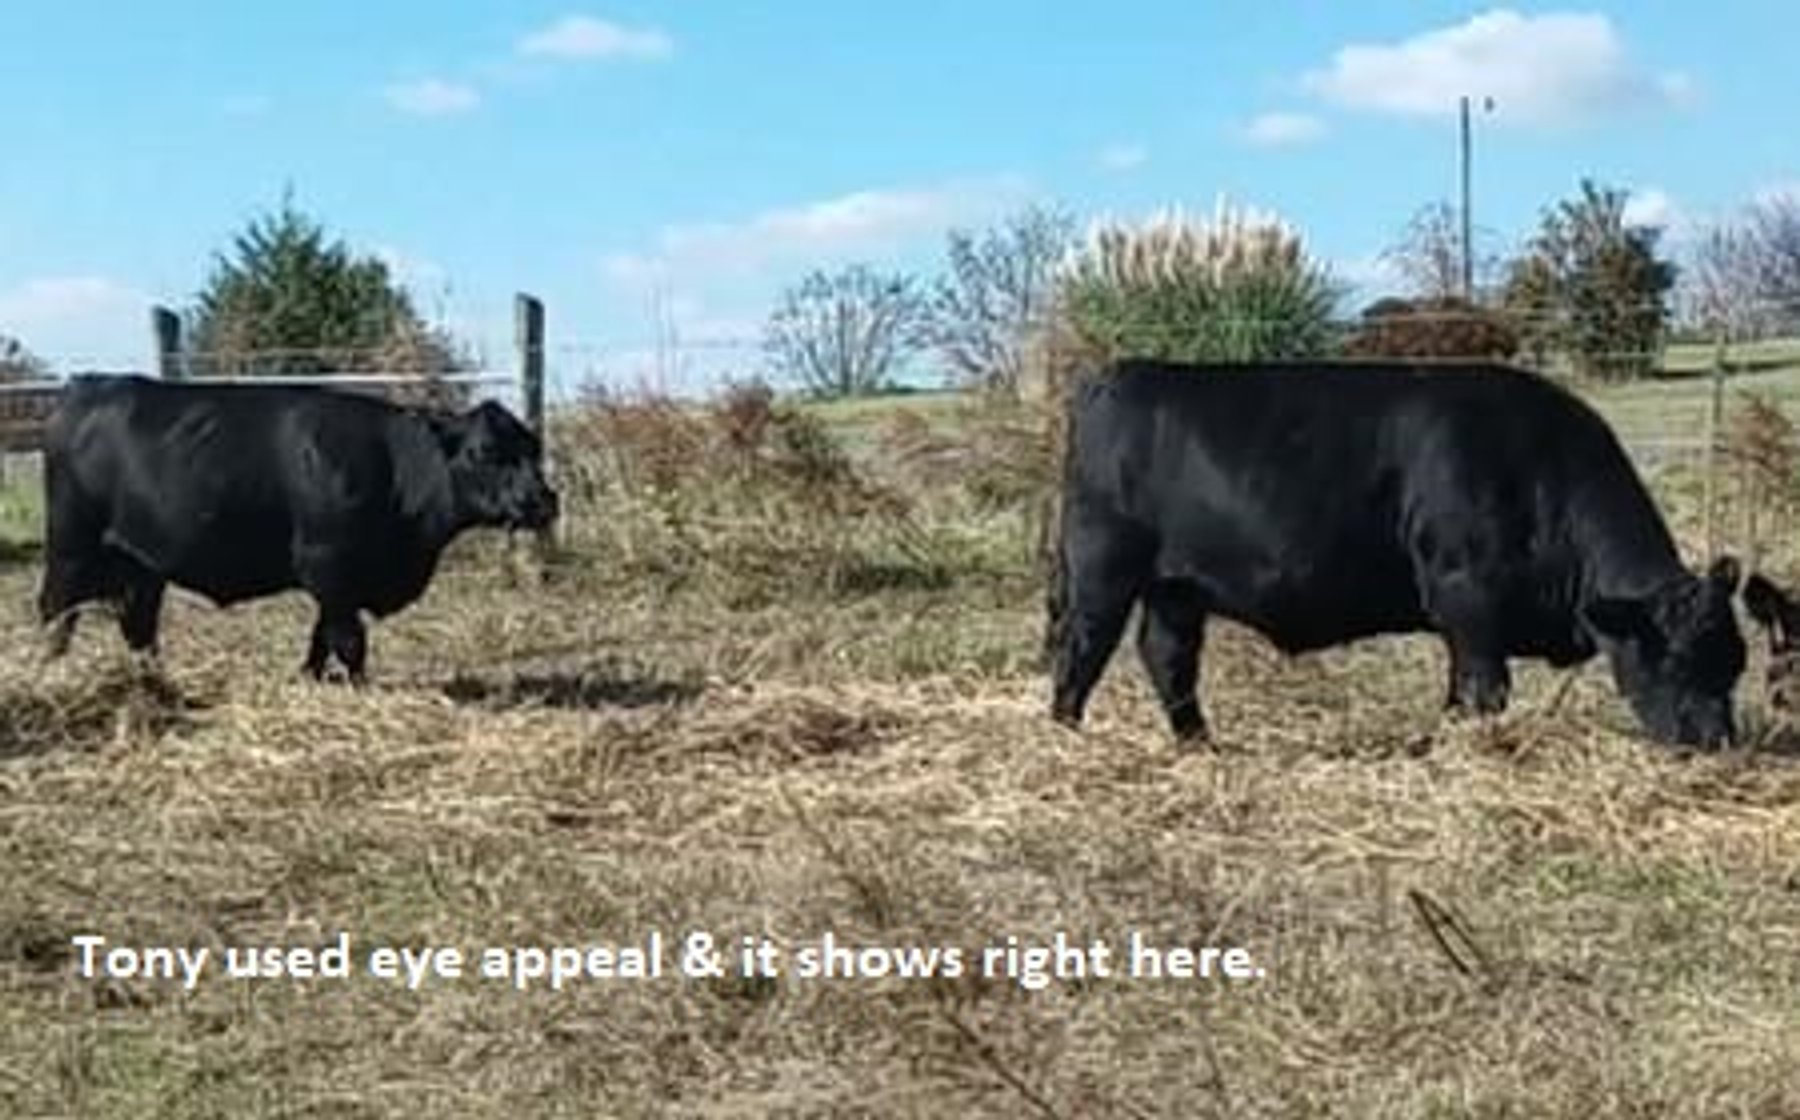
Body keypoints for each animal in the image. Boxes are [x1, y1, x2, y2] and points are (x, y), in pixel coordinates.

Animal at [38, 374, 559, 682]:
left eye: (535, 449)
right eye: (484, 452)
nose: (543, 500)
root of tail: (87, 386)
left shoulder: (341, 582)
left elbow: (322, 636)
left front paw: (308, 679)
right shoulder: (327, 564)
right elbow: (349, 641)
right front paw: (361, 691)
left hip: (143, 561)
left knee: (138, 624)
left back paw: (152, 682)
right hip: (70, 547)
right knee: (56, 613)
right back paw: (50, 675)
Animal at [1046, 358, 1749, 749]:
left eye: (1736, 663)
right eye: (1677, 659)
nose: (1715, 743)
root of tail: (1118, 373)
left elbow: (1462, 690)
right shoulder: (1467, 597)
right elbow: (1486, 689)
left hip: (1176, 588)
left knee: (1168, 658)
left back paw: (1199, 745)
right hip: (1102, 570)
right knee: (1081, 651)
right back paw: (1066, 736)